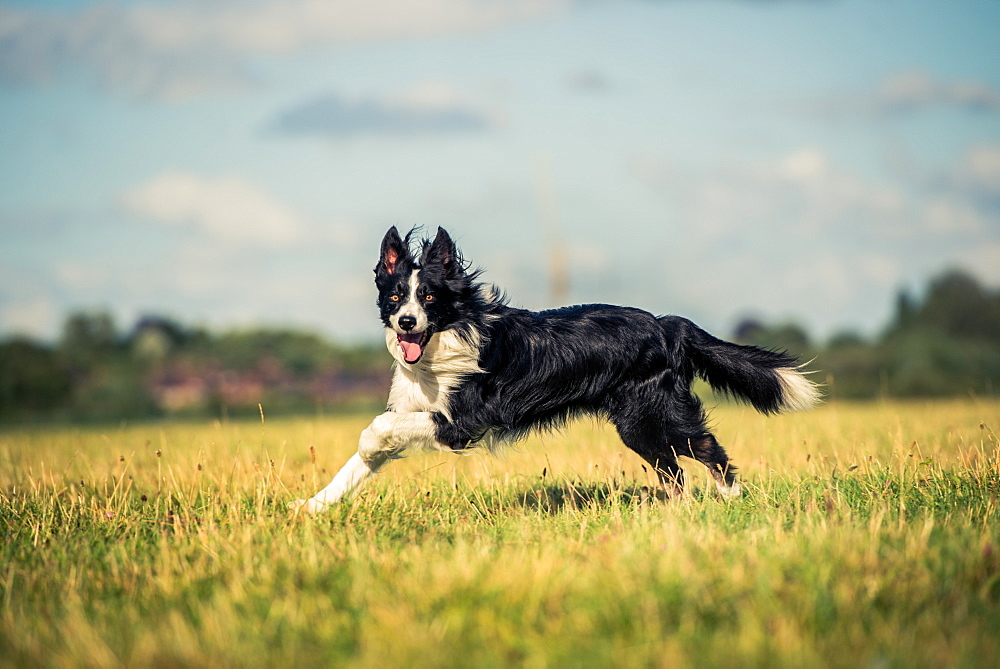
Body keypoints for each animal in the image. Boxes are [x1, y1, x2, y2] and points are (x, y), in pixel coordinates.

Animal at [292, 226, 820, 512]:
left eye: (430, 298)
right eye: (396, 296)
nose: (406, 323)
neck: (442, 346)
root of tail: (667, 324)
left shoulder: (464, 419)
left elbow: (378, 430)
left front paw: (365, 445)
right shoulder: (417, 409)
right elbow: (357, 465)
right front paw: (311, 506)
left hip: (651, 414)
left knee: (704, 446)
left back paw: (730, 498)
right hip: (640, 426)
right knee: (673, 470)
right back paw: (676, 512)